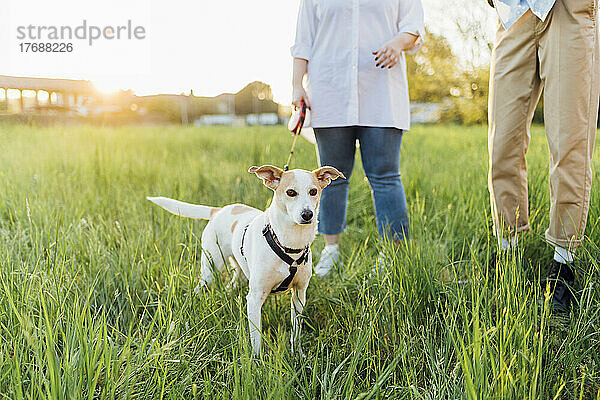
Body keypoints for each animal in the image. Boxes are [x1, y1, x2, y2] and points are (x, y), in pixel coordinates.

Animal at [146, 164, 342, 354]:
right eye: (291, 192)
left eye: (313, 191)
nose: (307, 214)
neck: (289, 244)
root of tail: (219, 210)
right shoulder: (255, 298)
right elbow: (256, 338)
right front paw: (257, 360)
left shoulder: (299, 294)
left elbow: (296, 330)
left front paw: (297, 353)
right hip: (210, 269)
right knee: (200, 287)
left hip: (238, 268)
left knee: (232, 283)